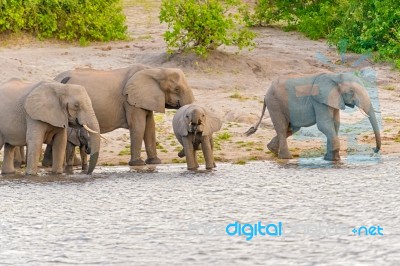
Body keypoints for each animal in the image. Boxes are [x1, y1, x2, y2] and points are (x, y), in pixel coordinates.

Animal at [51, 63, 195, 165]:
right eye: (176, 89)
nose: (179, 155)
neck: (155, 70)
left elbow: (150, 127)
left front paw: (154, 162)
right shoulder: (129, 100)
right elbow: (139, 126)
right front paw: (137, 164)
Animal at [247, 71, 382, 161]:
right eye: (351, 91)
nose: (373, 150)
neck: (335, 77)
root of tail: (266, 94)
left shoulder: (332, 100)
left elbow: (335, 124)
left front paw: (330, 159)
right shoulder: (319, 101)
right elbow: (324, 125)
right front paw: (332, 159)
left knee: (291, 128)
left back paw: (272, 150)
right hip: (275, 104)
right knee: (282, 127)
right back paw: (287, 158)